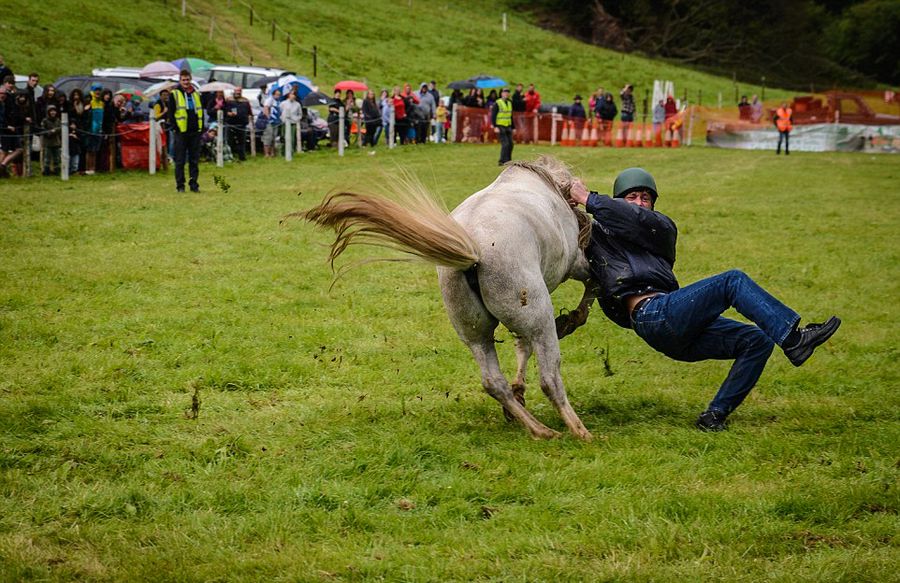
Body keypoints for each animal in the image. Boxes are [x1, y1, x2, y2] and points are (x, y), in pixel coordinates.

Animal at [296, 157, 600, 440]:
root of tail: (474, 251)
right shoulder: (575, 263)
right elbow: (592, 282)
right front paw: (572, 319)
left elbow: (521, 346)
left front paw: (519, 390)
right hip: (537, 319)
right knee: (549, 377)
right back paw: (578, 431)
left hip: (477, 332)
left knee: (493, 381)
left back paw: (537, 428)